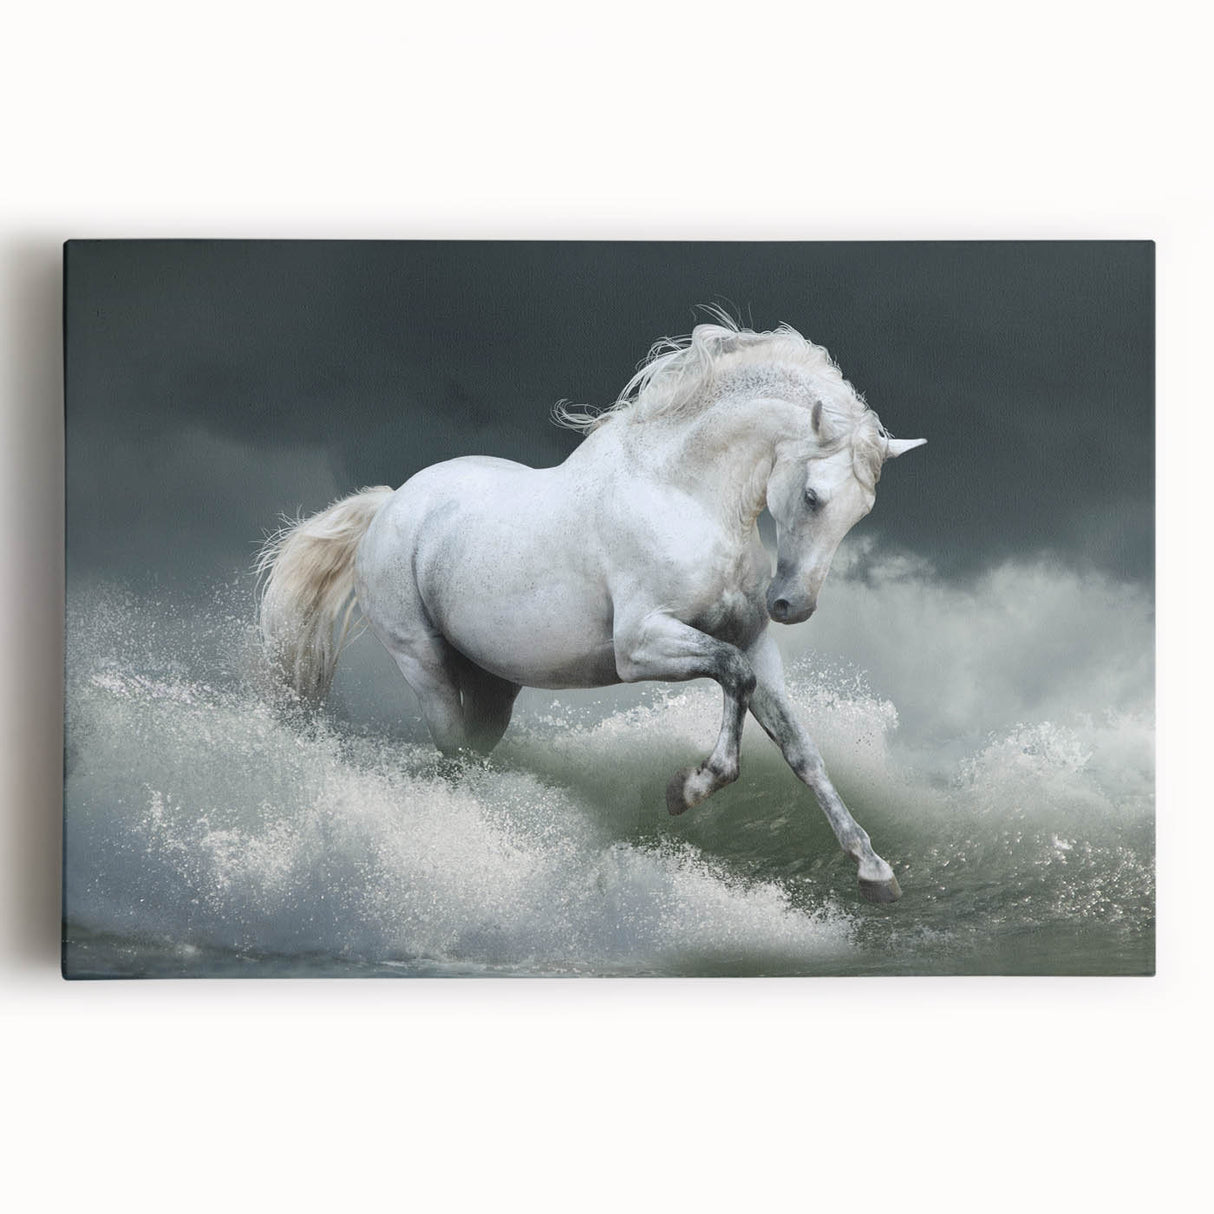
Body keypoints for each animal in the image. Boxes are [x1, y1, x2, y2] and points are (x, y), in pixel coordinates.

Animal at [257, 318, 925, 903]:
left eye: (862, 511)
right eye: (812, 496)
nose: (791, 605)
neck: (681, 493)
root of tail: (391, 504)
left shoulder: (757, 644)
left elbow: (799, 747)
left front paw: (873, 870)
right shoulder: (640, 647)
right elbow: (733, 677)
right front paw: (687, 789)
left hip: (493, 687)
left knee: (473, 750)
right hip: (423, 665)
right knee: (450, 751)